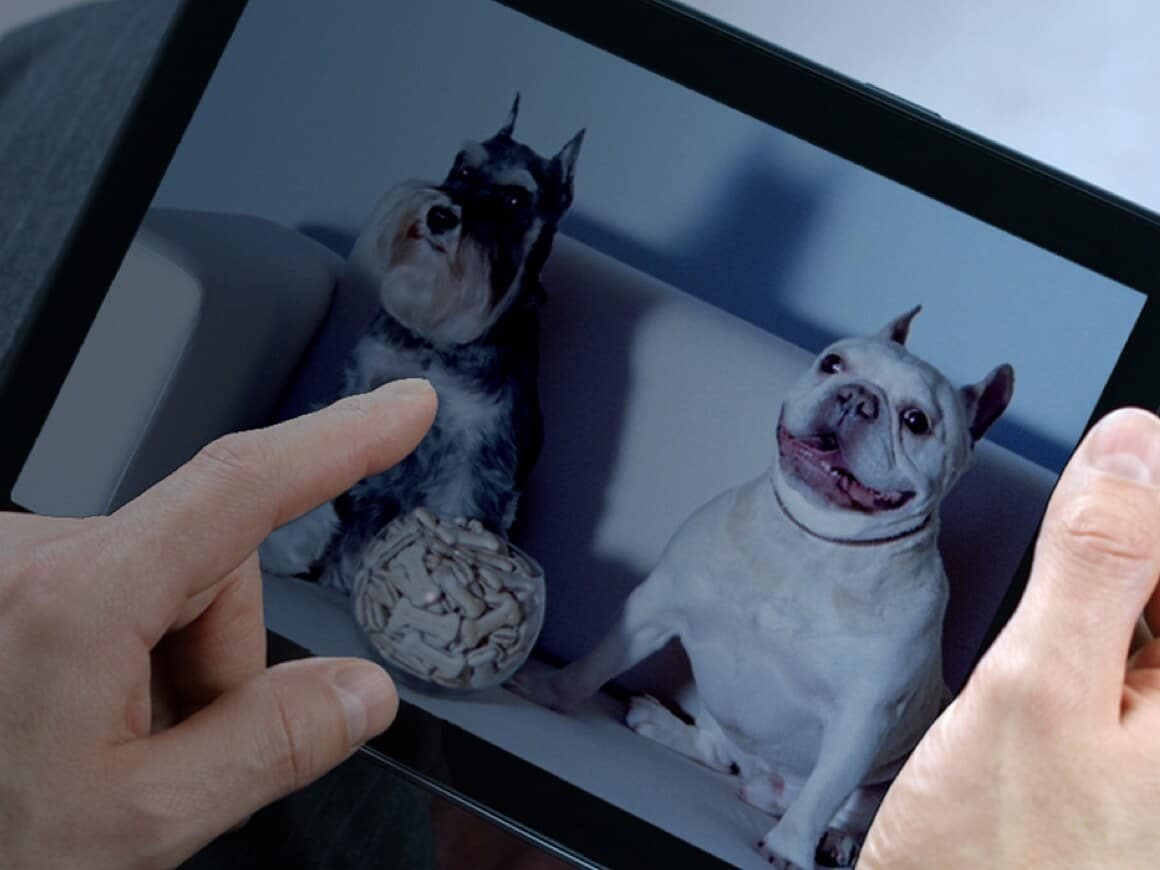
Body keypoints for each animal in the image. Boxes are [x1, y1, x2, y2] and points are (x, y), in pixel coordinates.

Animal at [265, 98, 584, 598]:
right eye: (463, 167)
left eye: (515, 198)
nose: (441, 216)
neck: (439, 342)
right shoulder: (361, 393)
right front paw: (282, 547)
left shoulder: (475, 457)